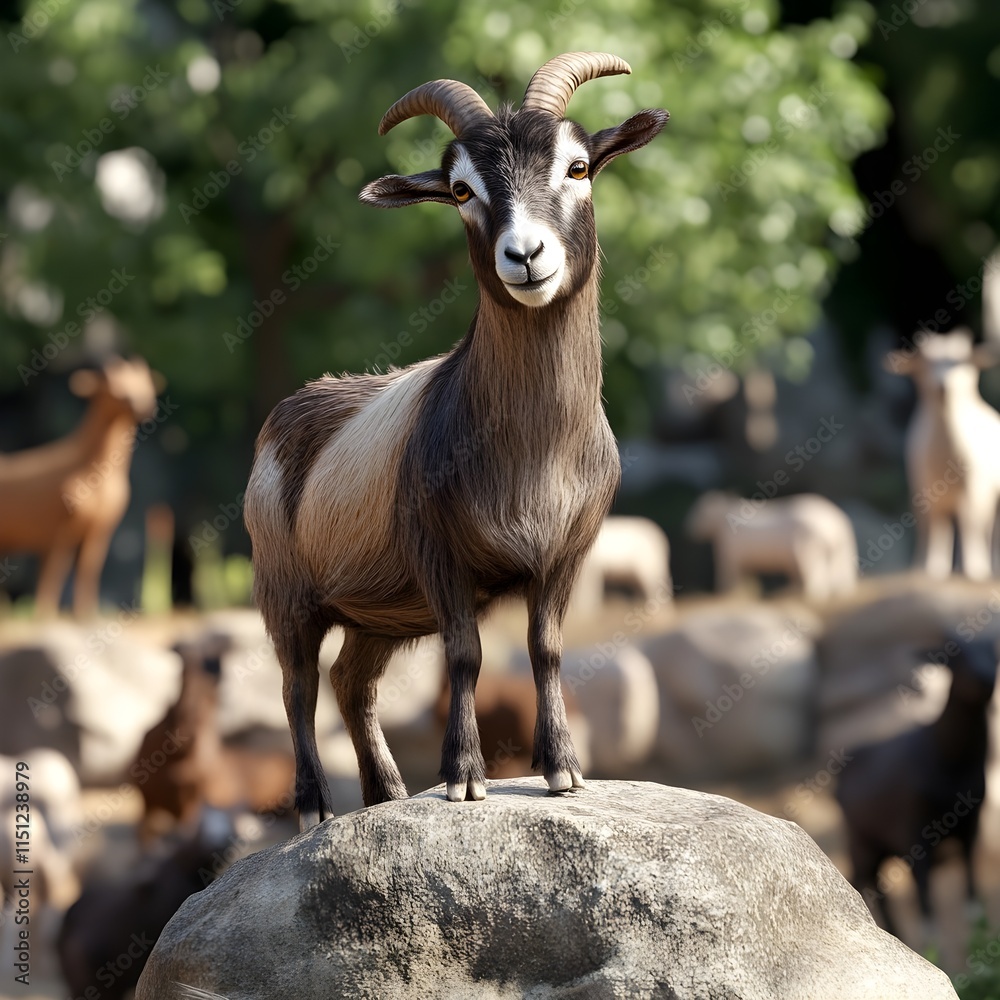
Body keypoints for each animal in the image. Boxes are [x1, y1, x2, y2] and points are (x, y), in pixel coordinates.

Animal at [0, 355, 160, 617]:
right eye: (114, 389)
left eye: (145, 385)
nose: (143, 405)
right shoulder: (58, 530)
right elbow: (53, 572)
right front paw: (44, 614)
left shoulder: (99, 530)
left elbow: (89, 569)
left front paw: (87, 614)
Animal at [244, 52, 668, 827]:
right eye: (462, 189)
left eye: (579, 167)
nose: (525, 255)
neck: (534, 453)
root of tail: (292, 407)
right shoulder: (437, 551)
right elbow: (467, 655)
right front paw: (465, 776)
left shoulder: (566, 552)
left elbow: (546, 649)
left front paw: (562, 769)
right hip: (285, 586)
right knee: (297, 684)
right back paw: (316, 806)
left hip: (378, 608)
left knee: (352, 682)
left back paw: (385, 794)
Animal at [686, 491, 857, 599]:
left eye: (698, 512)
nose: (687, 528)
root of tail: (837, 520)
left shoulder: (729, 546)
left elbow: (728, 570)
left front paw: (725, 592)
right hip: (840, 542)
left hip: (807, 538)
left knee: (810, 565)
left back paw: (806, 592)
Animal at [835, 637, 997, 937]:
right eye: (957, 656)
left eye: (995, 653)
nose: (985, 678)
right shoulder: (915, 834)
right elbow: (927, 908)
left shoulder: (972, 823)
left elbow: (970, 886)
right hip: (861, 840)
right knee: (865, 880)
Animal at [885, 329, 1000, 580]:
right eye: (925, 363)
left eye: (963, 361)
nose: (943, 386)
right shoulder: (923, 491)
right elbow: (936, 530)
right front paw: (932, 570)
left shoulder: (972, 492)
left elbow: (969, 525)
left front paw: (974, 570)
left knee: (987, 529)